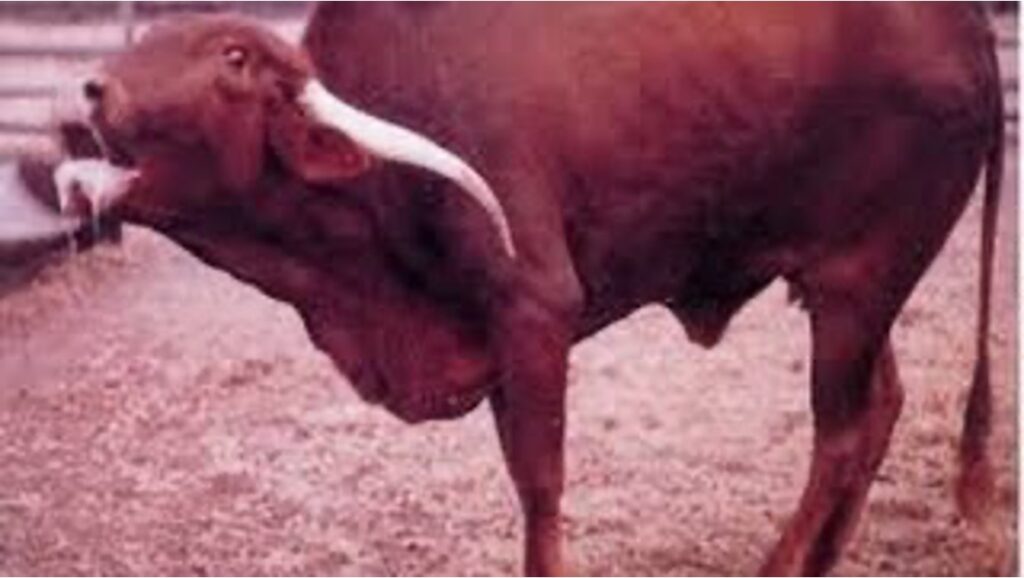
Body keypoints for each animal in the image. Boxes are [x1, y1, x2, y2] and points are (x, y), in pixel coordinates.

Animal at [54, 4, 1003, 575]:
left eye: (234, 57)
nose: (94, 89)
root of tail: (969, 32)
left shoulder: (535, 312)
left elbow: (540, 484)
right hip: (854, 288)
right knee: (880, 408)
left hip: (859, 282)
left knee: (839, 434)